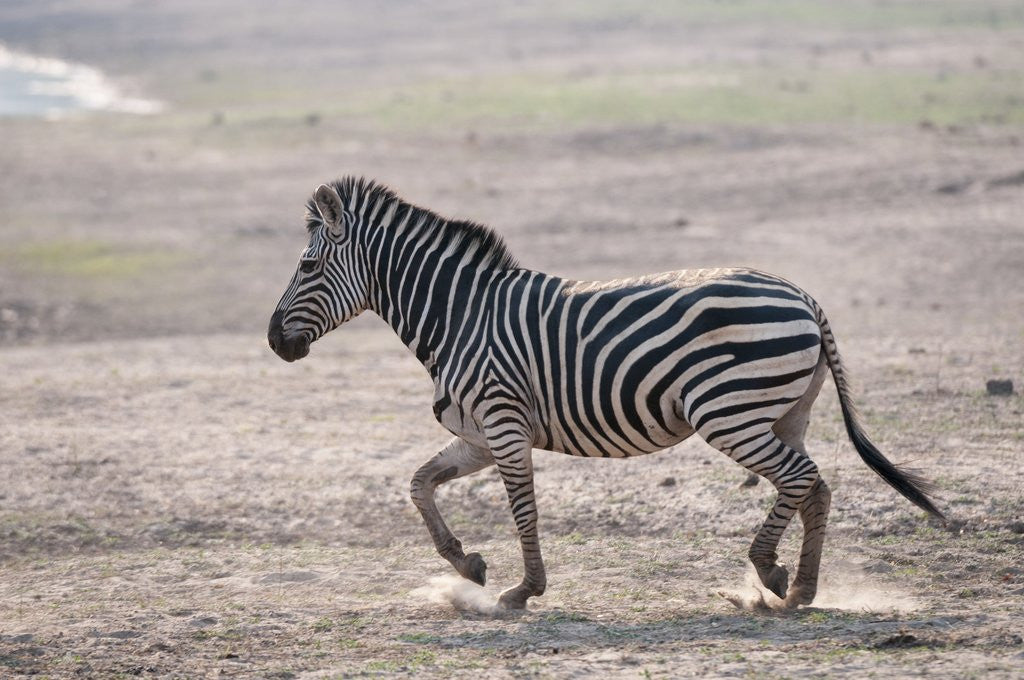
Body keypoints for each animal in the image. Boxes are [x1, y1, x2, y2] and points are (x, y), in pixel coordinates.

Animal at [267, 177, 944, 610]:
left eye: (306, 268)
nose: (274, 342)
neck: (459, 316)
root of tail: (802, 294)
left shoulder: (504, 423)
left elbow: (523, 508)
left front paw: (522, 591)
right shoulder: (478, 435)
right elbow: (418, 484)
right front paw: (467, 564)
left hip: (729, 413)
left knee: (802, 480)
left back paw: (774, 577)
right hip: (781, 414)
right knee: (810, 486)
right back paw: (791, 585)